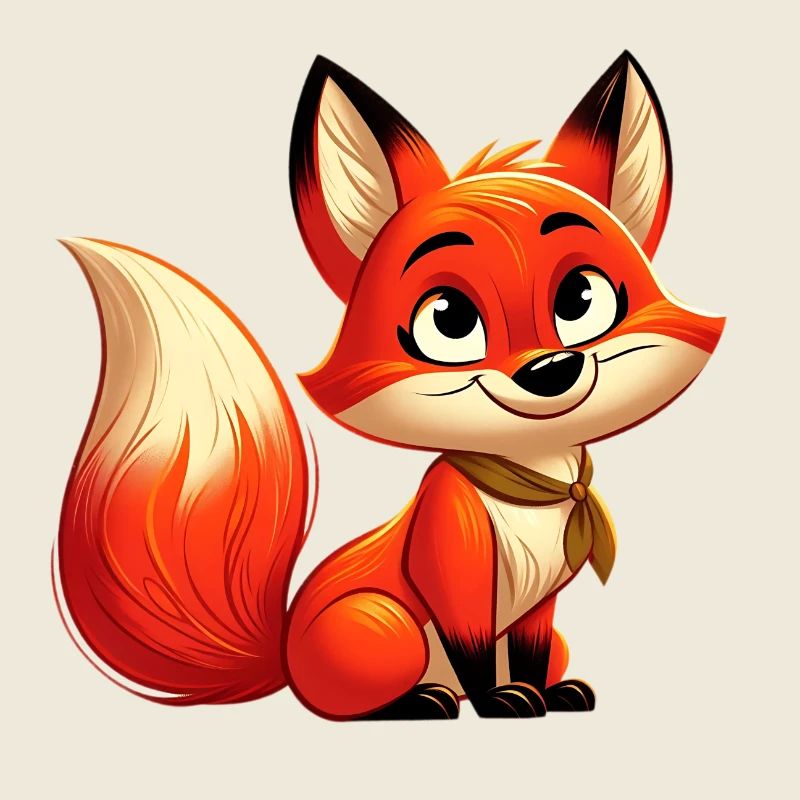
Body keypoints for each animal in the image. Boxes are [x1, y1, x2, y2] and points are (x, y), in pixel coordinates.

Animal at [55, 52, 724, 720]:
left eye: (581, 298)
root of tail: (284, 658)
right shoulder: (451, 571)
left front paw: (544, 695)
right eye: (450, 319)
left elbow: (530, 653)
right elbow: (473, 652)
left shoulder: (541, 606)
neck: (530, 490)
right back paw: (424, 700)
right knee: (361, 701)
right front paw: (499, 700)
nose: (550, 371)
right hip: (390, 623)